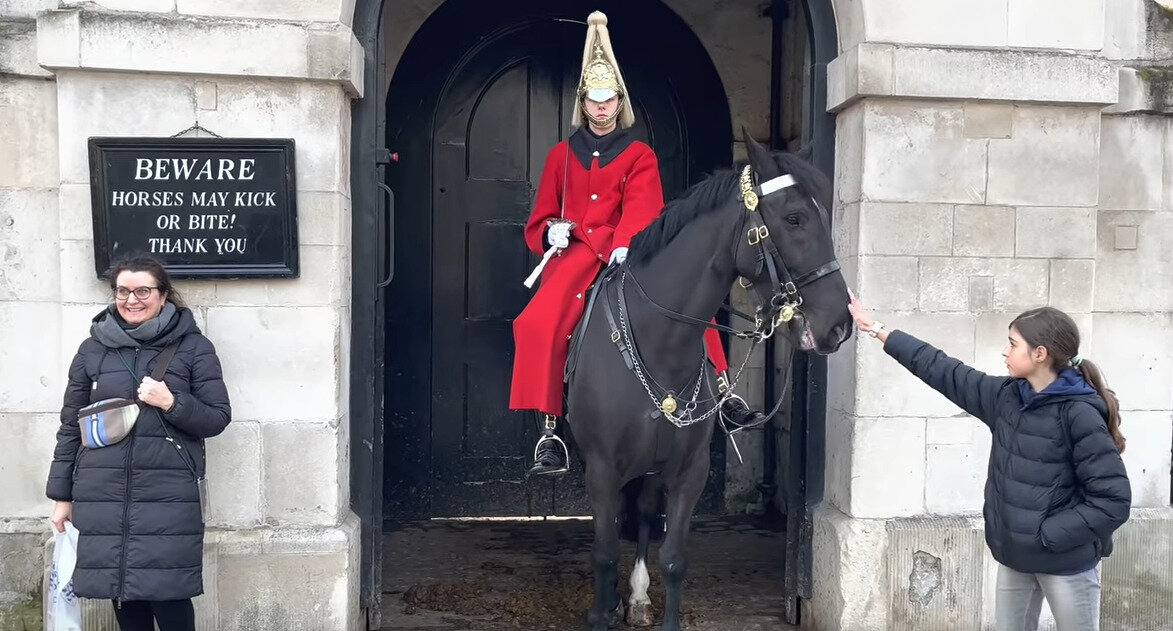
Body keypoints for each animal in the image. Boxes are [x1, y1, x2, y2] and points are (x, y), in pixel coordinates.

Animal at [563, 134, 849, 623]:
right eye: (794, 218)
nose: (840, 324)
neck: (659, 342)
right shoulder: (600, 467)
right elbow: (603, 550)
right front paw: (601, 611)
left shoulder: (689, 470)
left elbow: (674, 557)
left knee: (644, 513)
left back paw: (638, 597)